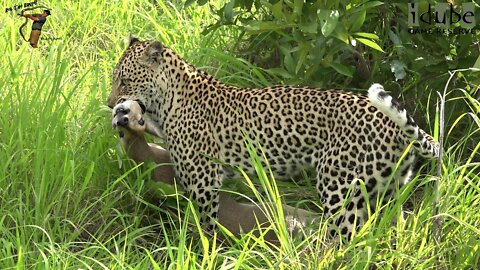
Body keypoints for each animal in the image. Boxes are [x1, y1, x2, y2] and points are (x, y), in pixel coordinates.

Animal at [108, 34, 438, 239]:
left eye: (124, 80)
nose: (111, 103)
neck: (167, 101)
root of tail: (397, 127)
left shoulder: (203, 181)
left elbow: (205, 226)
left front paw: (200, 250)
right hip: (386, 190)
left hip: (340, 189)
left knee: (343, 241)